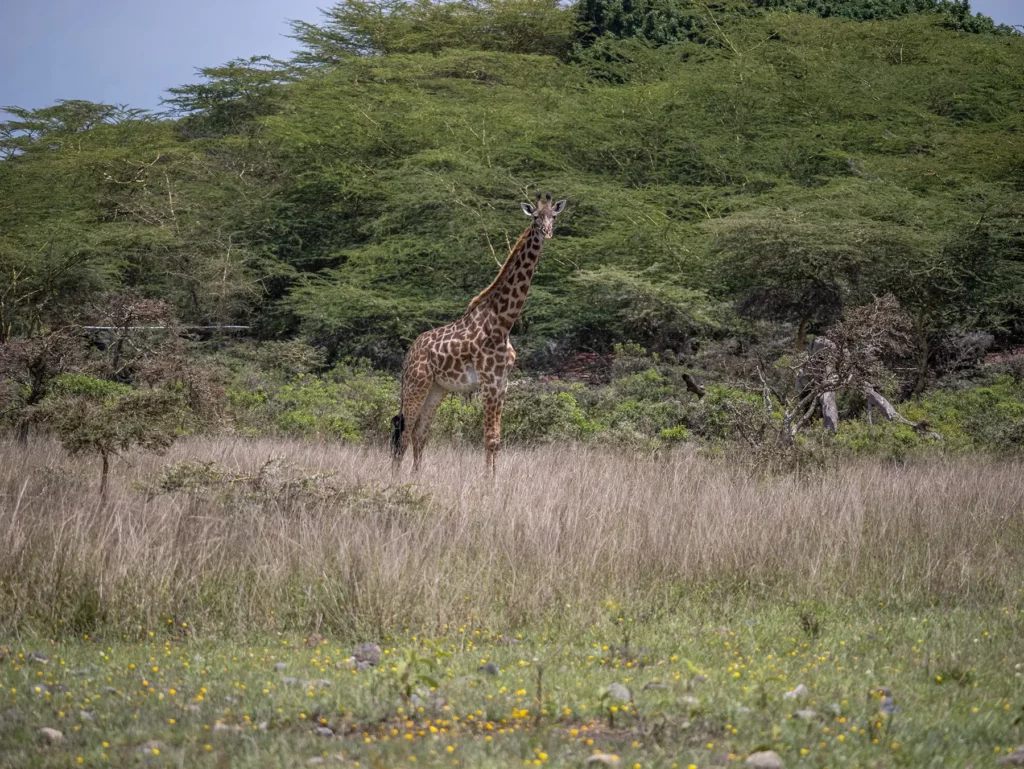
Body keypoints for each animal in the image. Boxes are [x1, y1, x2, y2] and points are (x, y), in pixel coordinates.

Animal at [391, 193, 567, 473]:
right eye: (535, 217)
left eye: (554, 216)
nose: (547, 233)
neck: (503, 322)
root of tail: (409, 353)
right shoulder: (488, 381)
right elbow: (489, 438)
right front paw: (488, 480)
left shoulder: (502, 383)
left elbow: (496, 439)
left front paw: (494, 478)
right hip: (415, 384)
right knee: (405, 433)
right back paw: (397, 478)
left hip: (436, 389)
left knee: (421, 432)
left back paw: (416, 477)